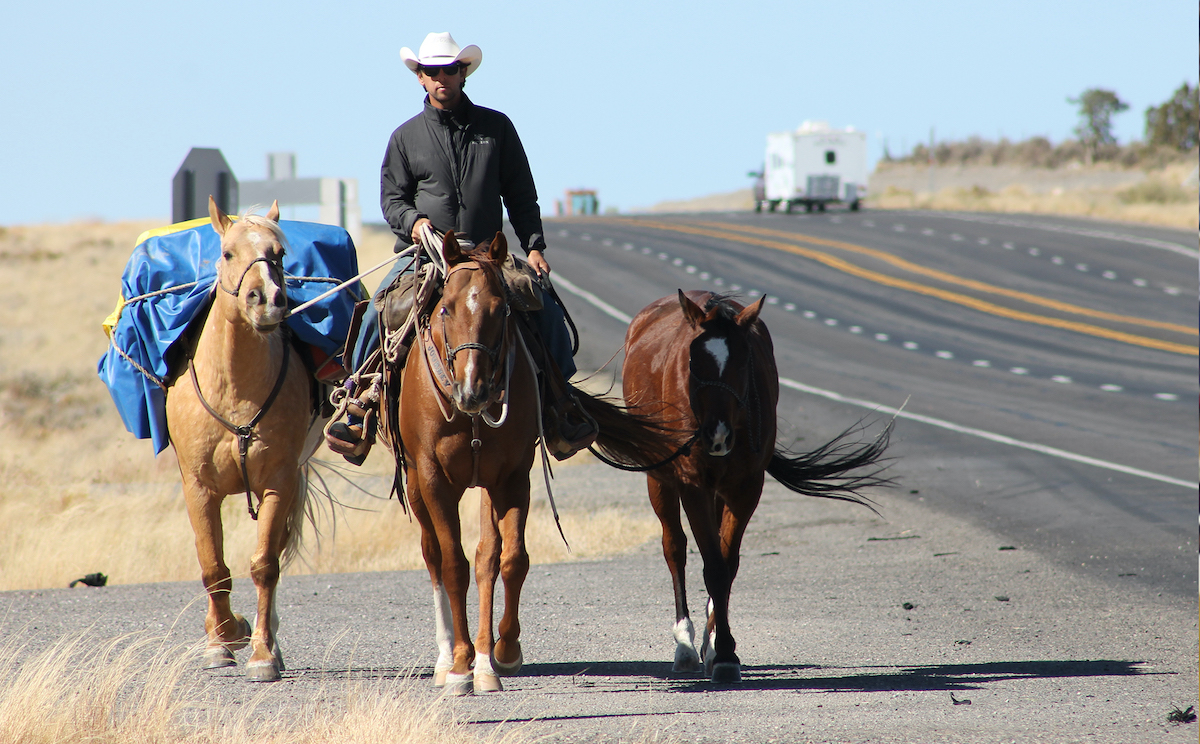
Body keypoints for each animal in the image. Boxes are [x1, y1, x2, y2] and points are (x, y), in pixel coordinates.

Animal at [166, 195, 324, 681]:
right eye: (228, 252)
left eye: (280, 254)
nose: (267, 301)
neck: (234, 387)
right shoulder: (198, 488)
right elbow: (213, 568)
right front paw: (222, 638)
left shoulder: (278, 481)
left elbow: (264, 566)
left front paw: (262, 652)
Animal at [388, 229, 681, 696]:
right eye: (446, 308)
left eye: (501, 309)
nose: (472, 390)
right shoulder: (435, 479)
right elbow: (453, 565)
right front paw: (460, 666)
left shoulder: (511, 477)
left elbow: (510, 560)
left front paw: (500, 654)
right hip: (416, 485)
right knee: (434, 555)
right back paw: (447, 657)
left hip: (485, 485)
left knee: (487, 557)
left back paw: (484, 658)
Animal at [619, 289, 892, 681]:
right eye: (692, 359)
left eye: (743, 360)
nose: (716, 433)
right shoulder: (692, 484)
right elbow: (712, 565)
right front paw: (719, 650)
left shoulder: (744, 487)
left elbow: (725, 564)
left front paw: (721, 649)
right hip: (659, 479)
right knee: (674, 547)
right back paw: (684, 644)